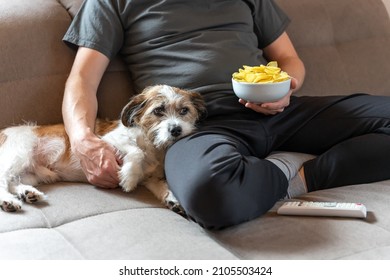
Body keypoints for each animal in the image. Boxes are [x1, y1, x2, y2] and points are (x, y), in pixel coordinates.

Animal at [0, 84, 206, 213]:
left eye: (184, 110)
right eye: (158, 110)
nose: (176, 130)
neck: (152, 144)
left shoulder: (151, 179)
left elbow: (161, 185)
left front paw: (172, 199)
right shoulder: (105, 142)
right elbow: (136, 152)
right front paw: (129, 177)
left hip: (34, 173)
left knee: (12, 181)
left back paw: (27, 193)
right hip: (19, 153)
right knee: (3, 179)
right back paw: (8, 201)